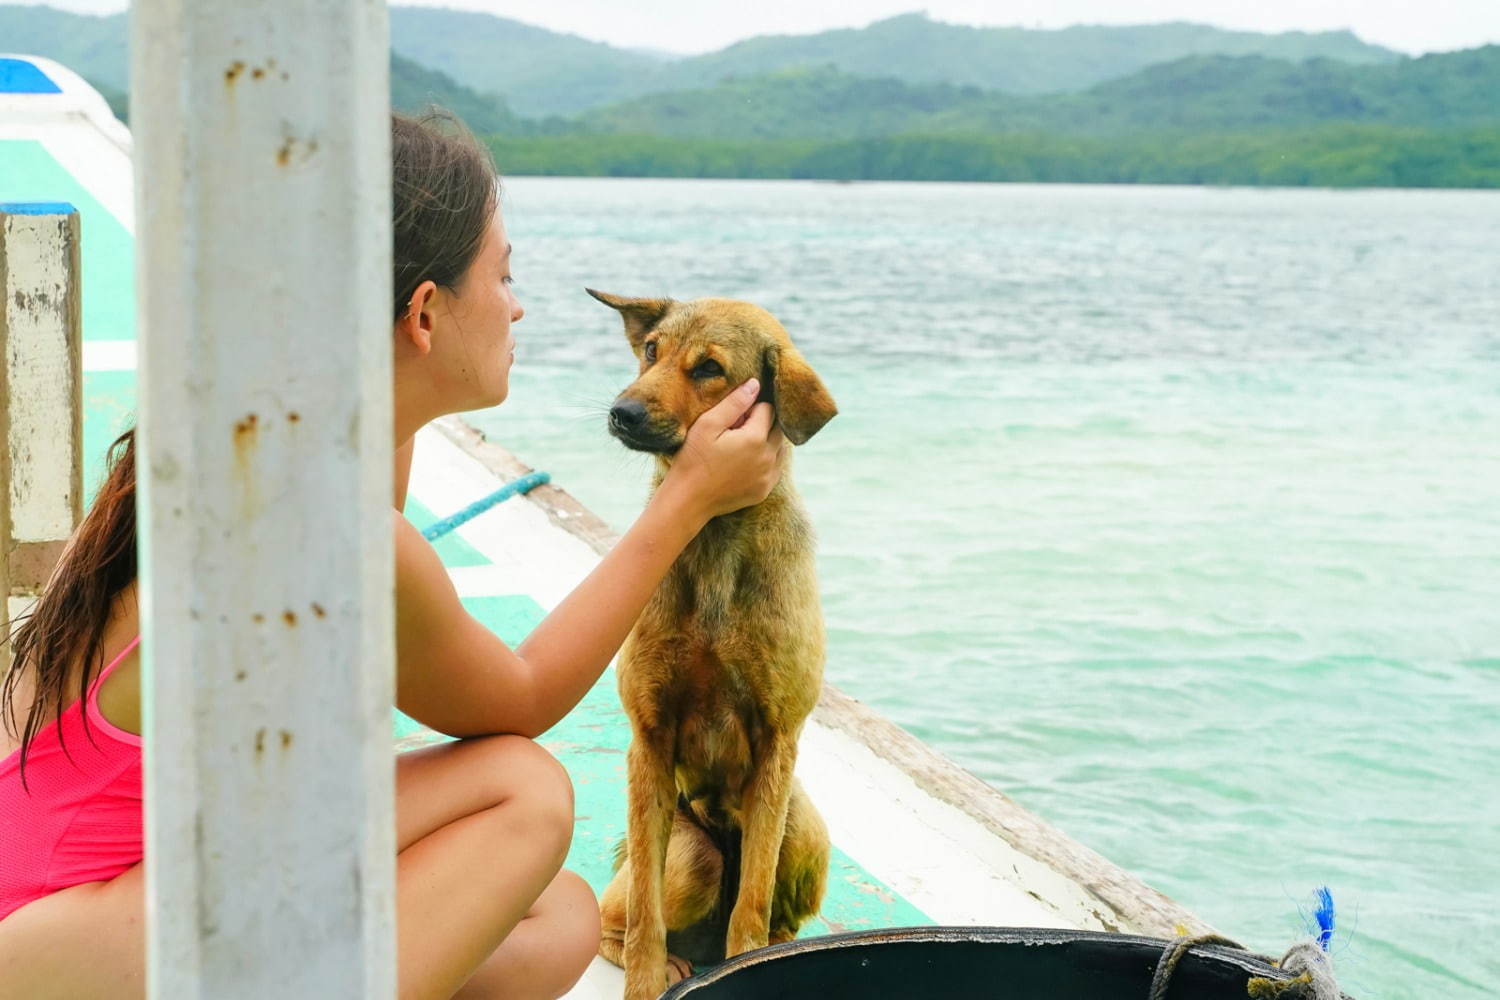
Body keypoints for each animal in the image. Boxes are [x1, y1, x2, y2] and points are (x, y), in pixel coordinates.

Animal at [585, 289, 840, 1000]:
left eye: (708, 369)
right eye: (650, 351)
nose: (622, 411)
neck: (713, 532)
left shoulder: (779, 740)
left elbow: (750, 903)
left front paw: (751, 967)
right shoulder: (648, 738)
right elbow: (645, 917)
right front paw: (645, 983)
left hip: (800, 826)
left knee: (767, 906)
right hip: (690, 851)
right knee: (616, 915)